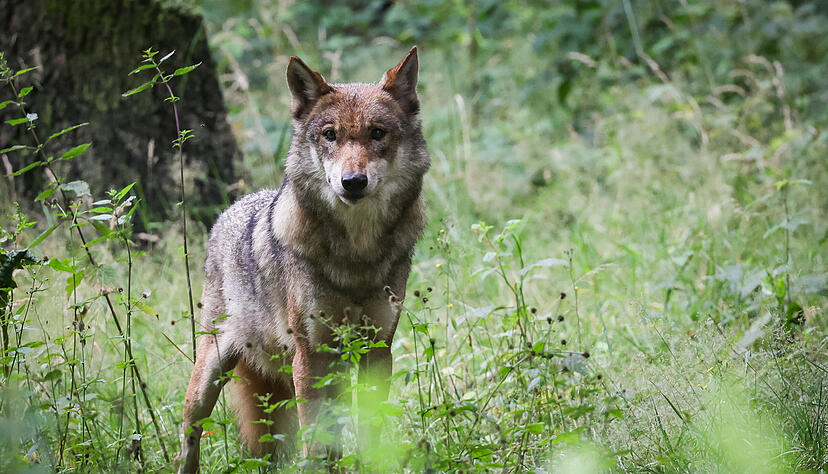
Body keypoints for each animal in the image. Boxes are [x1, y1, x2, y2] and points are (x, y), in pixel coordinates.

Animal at [174, 47, 430, 473]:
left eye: (377, 133)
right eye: (330, 135)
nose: (353, 182)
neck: (356, 255)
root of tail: (230, 210)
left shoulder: (377, 350)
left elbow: (370, 432)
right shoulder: (311, 355)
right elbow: (315, 441)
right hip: (209, 377)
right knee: (189, 436)